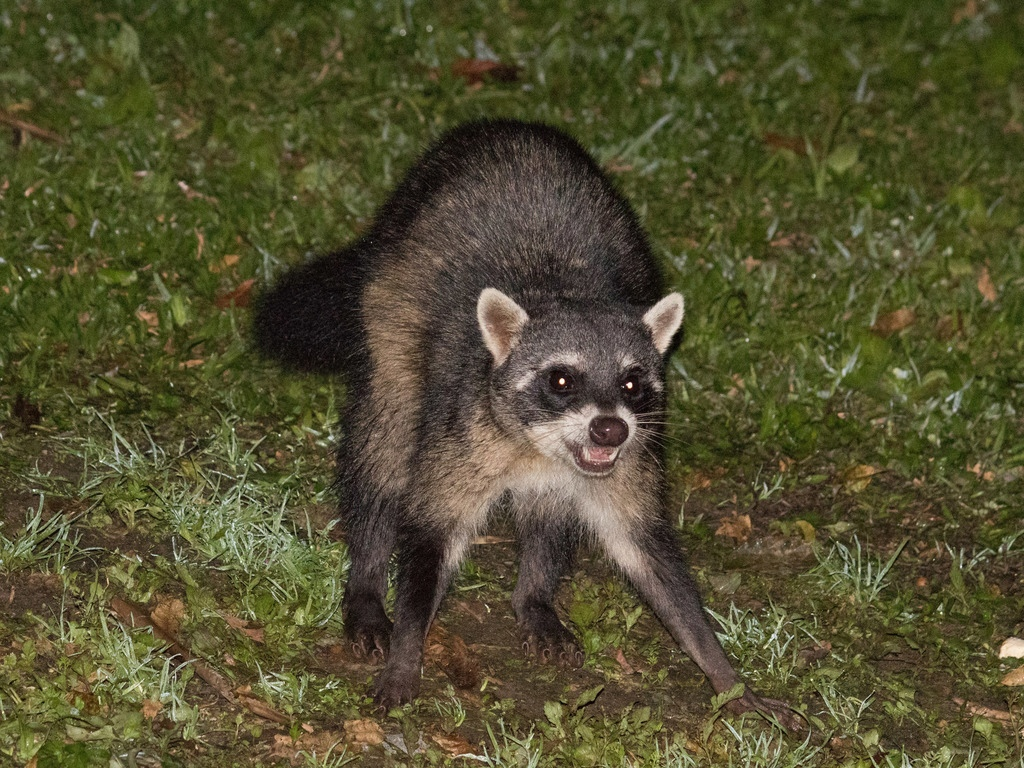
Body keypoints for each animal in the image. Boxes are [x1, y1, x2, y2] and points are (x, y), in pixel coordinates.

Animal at [253, 118, 790, 720]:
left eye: (631, 383)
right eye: (561, 381)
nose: (610, 429)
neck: (544, 448)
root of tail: (505, 126)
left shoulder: (630, 460)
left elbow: (645, 551)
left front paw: (726, 675)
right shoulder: (463, 430)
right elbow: (431, 533)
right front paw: (406, 648)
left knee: (549, 512)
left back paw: (533, 593)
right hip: (389, 313)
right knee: (384, 447)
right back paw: (367, 579)